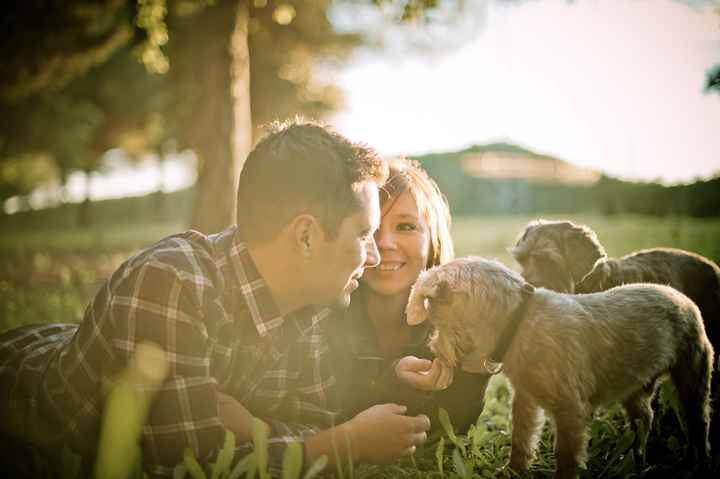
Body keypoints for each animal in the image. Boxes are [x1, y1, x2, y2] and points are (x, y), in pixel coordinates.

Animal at [408, 258, 712, 479]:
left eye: (435, 320)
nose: (432, 349)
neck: (518, 320)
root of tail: (681, 297)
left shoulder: (570, 409)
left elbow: (566, 455)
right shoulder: (525, 398)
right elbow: (522, 436)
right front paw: (513, 470)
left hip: (693, 373)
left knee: (697, 420)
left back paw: (696, 460)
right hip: (635, 391)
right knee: (643, 419)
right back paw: (638, 458)